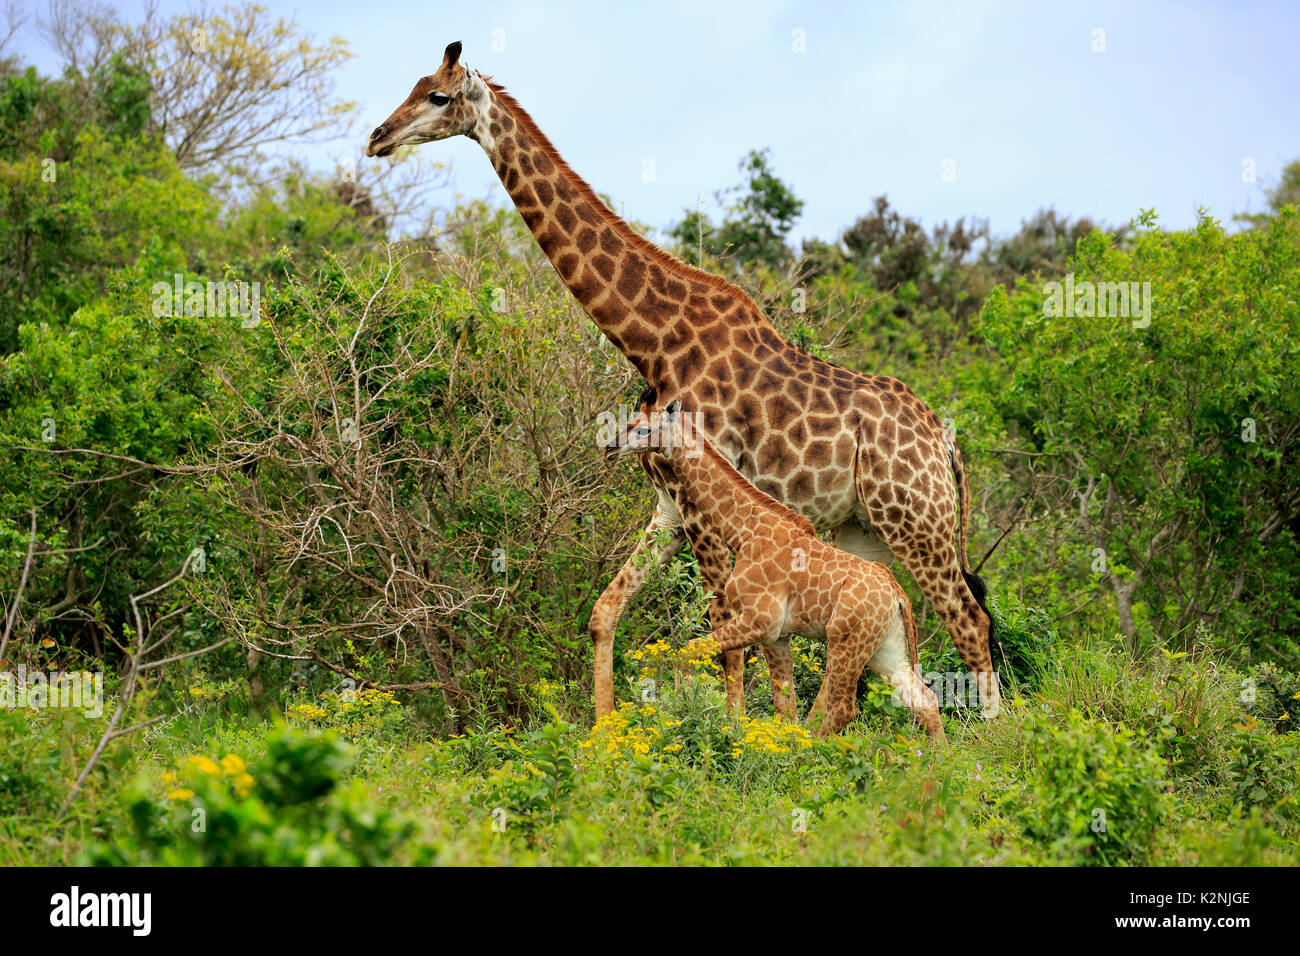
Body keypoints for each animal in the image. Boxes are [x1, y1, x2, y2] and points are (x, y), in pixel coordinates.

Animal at [605, 390, 943, 739]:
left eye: (644, 429)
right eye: (631, 420)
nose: (609, 448)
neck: (743, 531)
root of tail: (899, 597)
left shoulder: (760, 620)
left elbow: (689, 651)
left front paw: (684, 714)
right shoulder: (777, 635)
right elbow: (785, 708)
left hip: (845, 640)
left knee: (844, 708)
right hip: (885, 647)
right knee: (923, 700)